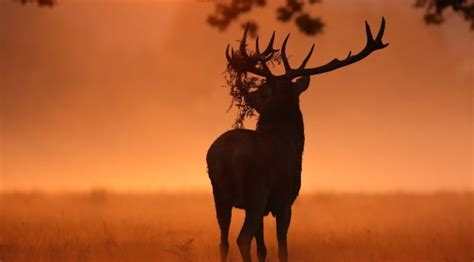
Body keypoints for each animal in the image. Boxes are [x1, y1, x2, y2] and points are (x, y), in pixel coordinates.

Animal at [206, 17, 386, 260]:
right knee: (241, 238)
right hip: (255, 191)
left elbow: (262, 249)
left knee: (223, 242)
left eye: (261, 90)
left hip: (219, 195)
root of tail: (226, 155)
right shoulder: (285, 200)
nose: (246, 92)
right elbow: (282, 248)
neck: (291, 142)